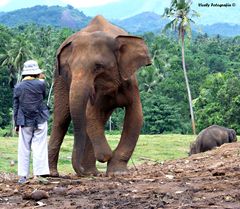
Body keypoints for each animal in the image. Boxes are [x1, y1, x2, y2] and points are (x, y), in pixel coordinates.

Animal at [47, 15, 151, 177]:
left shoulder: (130, 81)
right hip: (58, 78)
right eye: (69, 69)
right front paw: (106, 155)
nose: (81, 172)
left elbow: (136, 115)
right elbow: (91, 114)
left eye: (98, 66)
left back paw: (90, 171)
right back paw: (53, 174)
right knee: (61, 119)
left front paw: (117, 172)